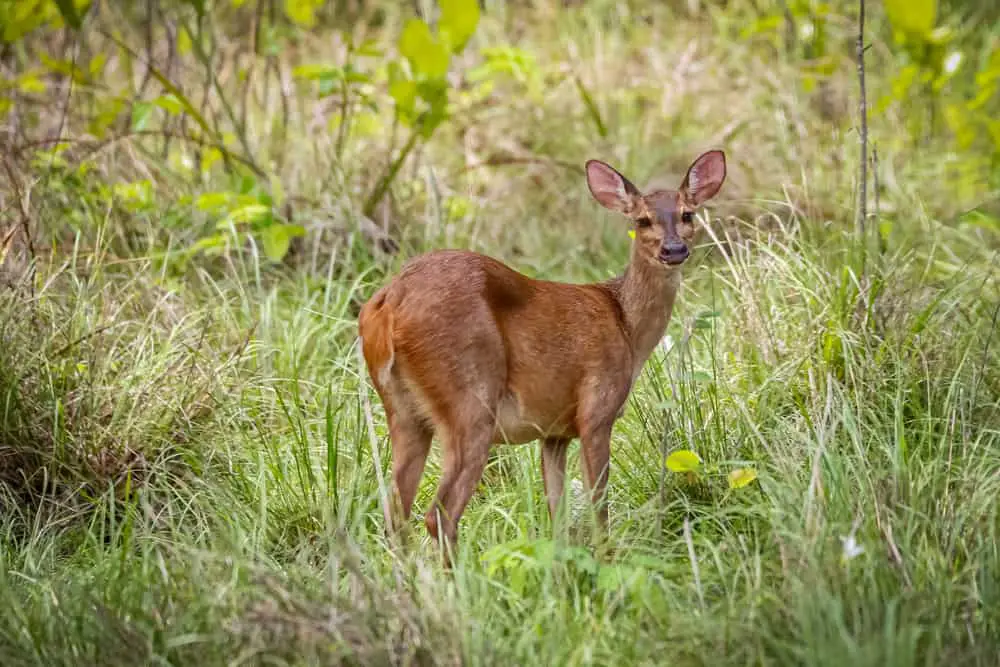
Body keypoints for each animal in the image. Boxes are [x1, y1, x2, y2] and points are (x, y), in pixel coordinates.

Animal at [360, 149, 728, 560]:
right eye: (642, 219)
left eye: (687, 214)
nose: (674, 250)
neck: (626, 326)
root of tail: (388, 304)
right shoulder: (596, 410)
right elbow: (599, 506)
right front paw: (606, 559)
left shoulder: (553, 432)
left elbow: (558, 515)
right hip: (469, 402)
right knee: (439, 512)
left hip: (404, 412)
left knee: (395, 511)